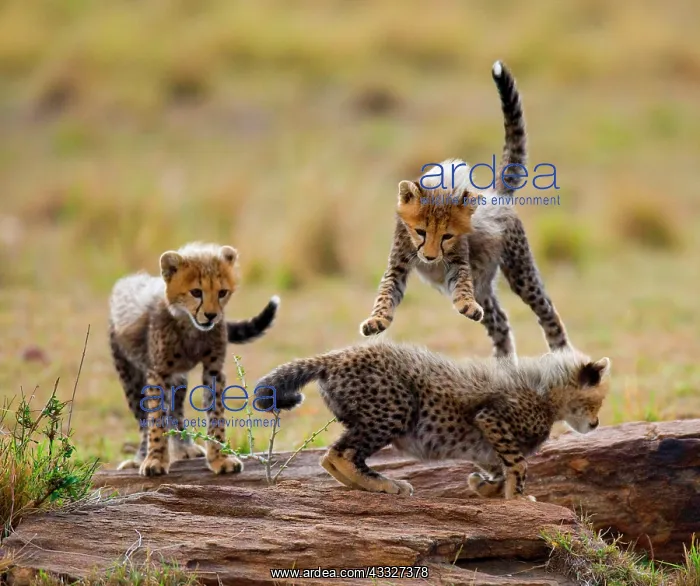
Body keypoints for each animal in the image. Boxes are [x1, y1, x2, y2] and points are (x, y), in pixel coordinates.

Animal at [109, 241, 280, 476]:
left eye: (222, 292)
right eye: (196, 292)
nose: (211, 315)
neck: (190, 326)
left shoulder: (213, 369)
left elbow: (216, 415)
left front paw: (219, 459)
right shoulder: (158, 372)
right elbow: (156, 419)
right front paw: (155, 459)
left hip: (178, 379)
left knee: (176, 411)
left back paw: (184, 447)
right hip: (130, 376)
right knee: (143, 419)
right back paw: (140, 457)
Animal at [254, 339, 610, 499]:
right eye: (599, 400)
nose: (595, 424)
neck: (548, 392)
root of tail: (340, 353)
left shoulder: (488, 438)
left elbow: (500, 464)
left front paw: (486, 487)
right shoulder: (492, 416)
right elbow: (519, 463)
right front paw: (518, 496)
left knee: (336, 455)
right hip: (395, 408)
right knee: (339, 453)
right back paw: (382, 483)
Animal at [360, 60, 570, 358]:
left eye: (447, 236)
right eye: (420, 231)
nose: (430, 257)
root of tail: (495, 193)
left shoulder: (460, 262)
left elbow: (460, 282)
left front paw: (465, 304)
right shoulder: (398, 262)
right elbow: (386, 293)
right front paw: (377, 320)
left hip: (520, 271)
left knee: (547, 312)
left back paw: (564, 354)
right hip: (486, 283)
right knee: (499, 321)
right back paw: (504, 363)